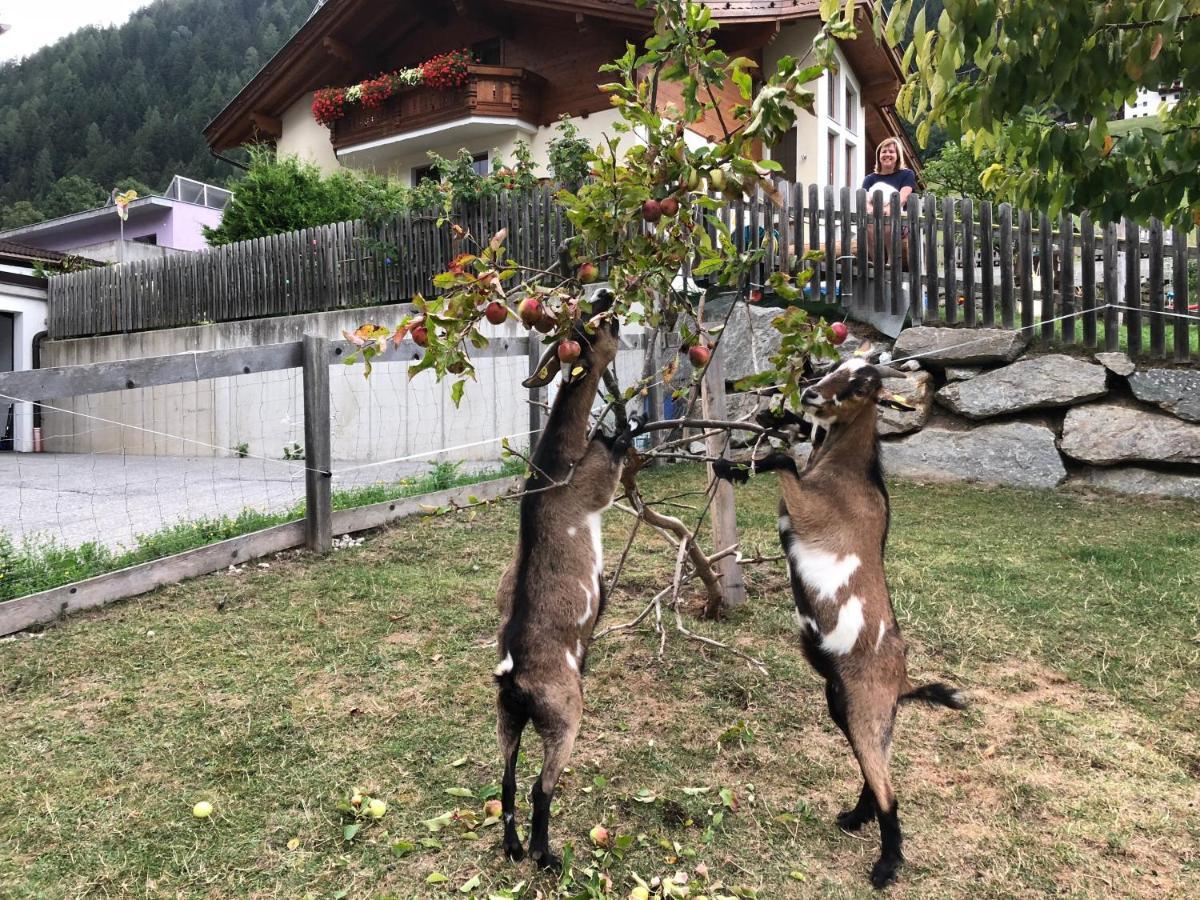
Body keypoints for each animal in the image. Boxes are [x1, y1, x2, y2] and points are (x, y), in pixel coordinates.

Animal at [492, 292, 638, 868]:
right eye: (591, 331)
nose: (607, 300)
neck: (554, 463)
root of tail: (514, 679)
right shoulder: (598, 486)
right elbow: (619, 448)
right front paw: (627, 425)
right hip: (563, 714)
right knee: (539, 786)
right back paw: (546, 856)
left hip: (507, 719)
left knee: (507, 783)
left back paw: (514, 848)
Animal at [710, 355, 964, 892]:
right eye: (831, 367)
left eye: (863, 385)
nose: (808, 393)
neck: (847, 472)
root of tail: (903, 682)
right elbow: (784, 455)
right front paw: (732, 462)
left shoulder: (808, 513)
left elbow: (784, 459)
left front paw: (740, 463)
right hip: (846, 705)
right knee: (876, 769)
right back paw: (856, 817)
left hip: (867, 708)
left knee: (888, 787)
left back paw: (887, 865)